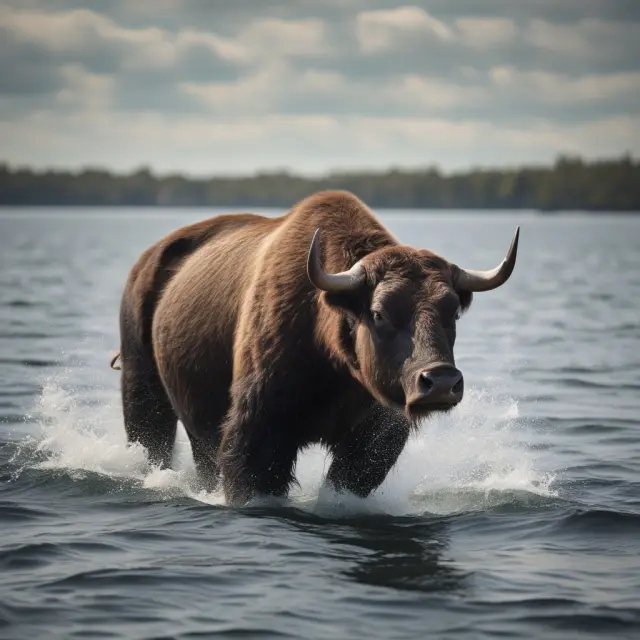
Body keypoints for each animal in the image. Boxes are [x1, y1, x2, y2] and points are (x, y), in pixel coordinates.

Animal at [114, 191, 519, 506]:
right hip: (143, 387)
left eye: (453, 311)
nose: (440, 381)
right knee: (153, 439)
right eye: (378, 313)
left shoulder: (374, 434)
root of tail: (144, 264)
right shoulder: (258, 425)